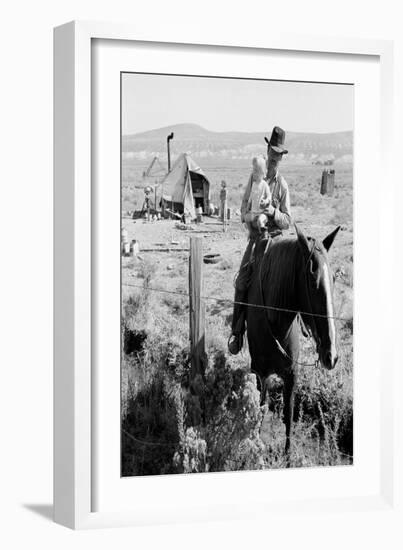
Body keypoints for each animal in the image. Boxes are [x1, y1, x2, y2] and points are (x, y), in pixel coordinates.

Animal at [246, 222, 340, 454]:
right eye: (313, 280)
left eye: (334, 279)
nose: (331, 356)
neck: (277, 322)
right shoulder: (261, 373)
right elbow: (260, 408)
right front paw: (256, 445)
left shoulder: (292, 375)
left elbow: (288, 415)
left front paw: (287, 455)